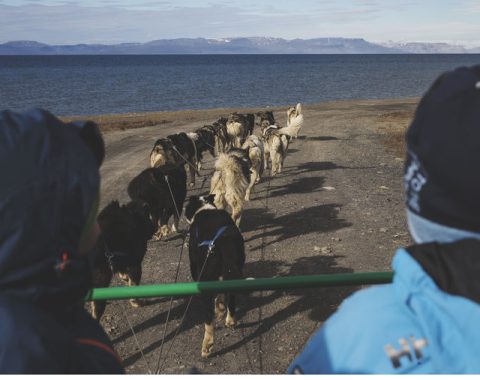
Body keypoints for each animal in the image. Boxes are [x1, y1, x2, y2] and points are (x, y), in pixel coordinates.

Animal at [184, 194, 244, 358]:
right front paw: (221, 305)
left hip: (205, 278)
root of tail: (224, 241)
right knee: (232, 299)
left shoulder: (195, 264)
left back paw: (207, 345)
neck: (204, 208)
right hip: (234, 270)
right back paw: (229, 318)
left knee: (208, 318)